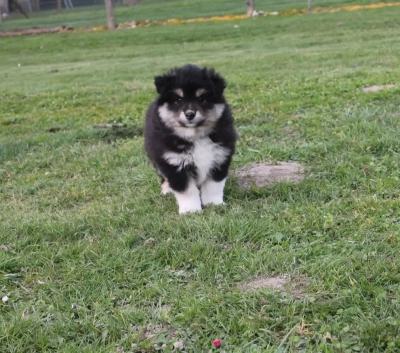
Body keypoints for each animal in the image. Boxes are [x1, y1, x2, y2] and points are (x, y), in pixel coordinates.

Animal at [145, 64, 236, 213]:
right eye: (179, 100)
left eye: (201, 99)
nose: (190, 114)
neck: (195, 136)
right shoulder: (175, 163)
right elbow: (186, 190)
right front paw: (190, 210)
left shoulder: (220, 157)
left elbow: (214, 186)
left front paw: (214, 204)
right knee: (163, 176)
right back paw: (167, 190)